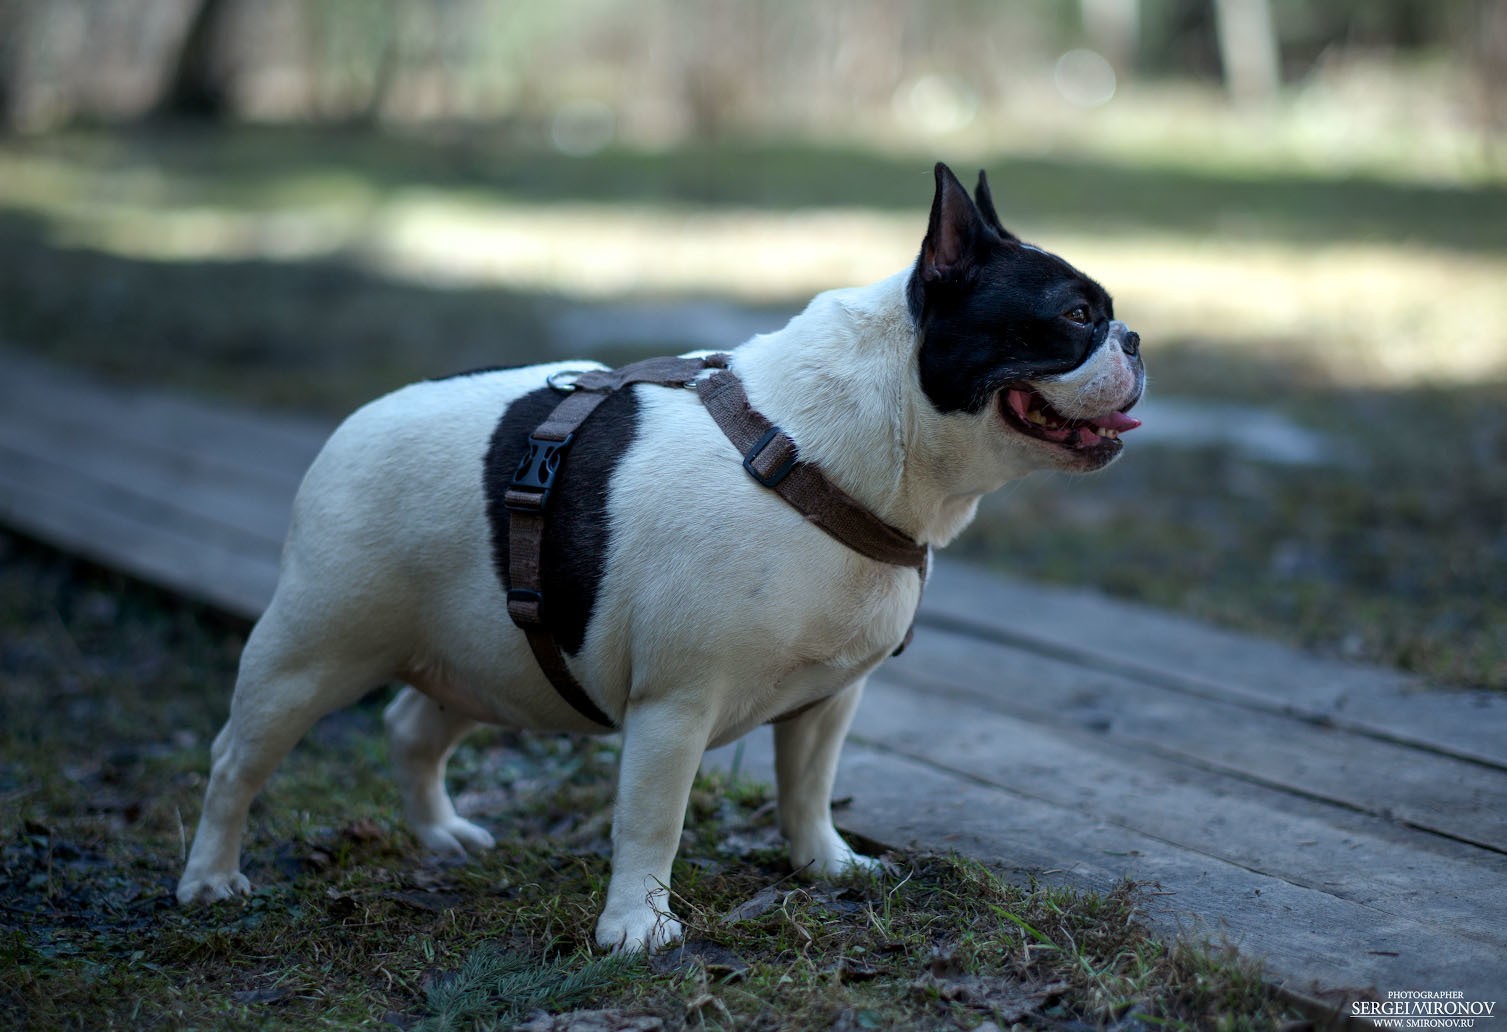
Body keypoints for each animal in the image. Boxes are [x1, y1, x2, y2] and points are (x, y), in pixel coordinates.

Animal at [176, 162, 1139, 952]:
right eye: (1074, 316)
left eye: (1106, 317)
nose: (1132, 338)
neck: (827, 451)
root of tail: (358, 421)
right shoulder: (675, 706)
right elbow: (651, 822)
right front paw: (637, 926)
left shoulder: (828, 699)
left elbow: (807, 786)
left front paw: (823, 864)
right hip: (312, 653)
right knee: (235, 761)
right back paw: (210, 879)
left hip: (490, 650)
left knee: (413, 728)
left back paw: (440, 835)